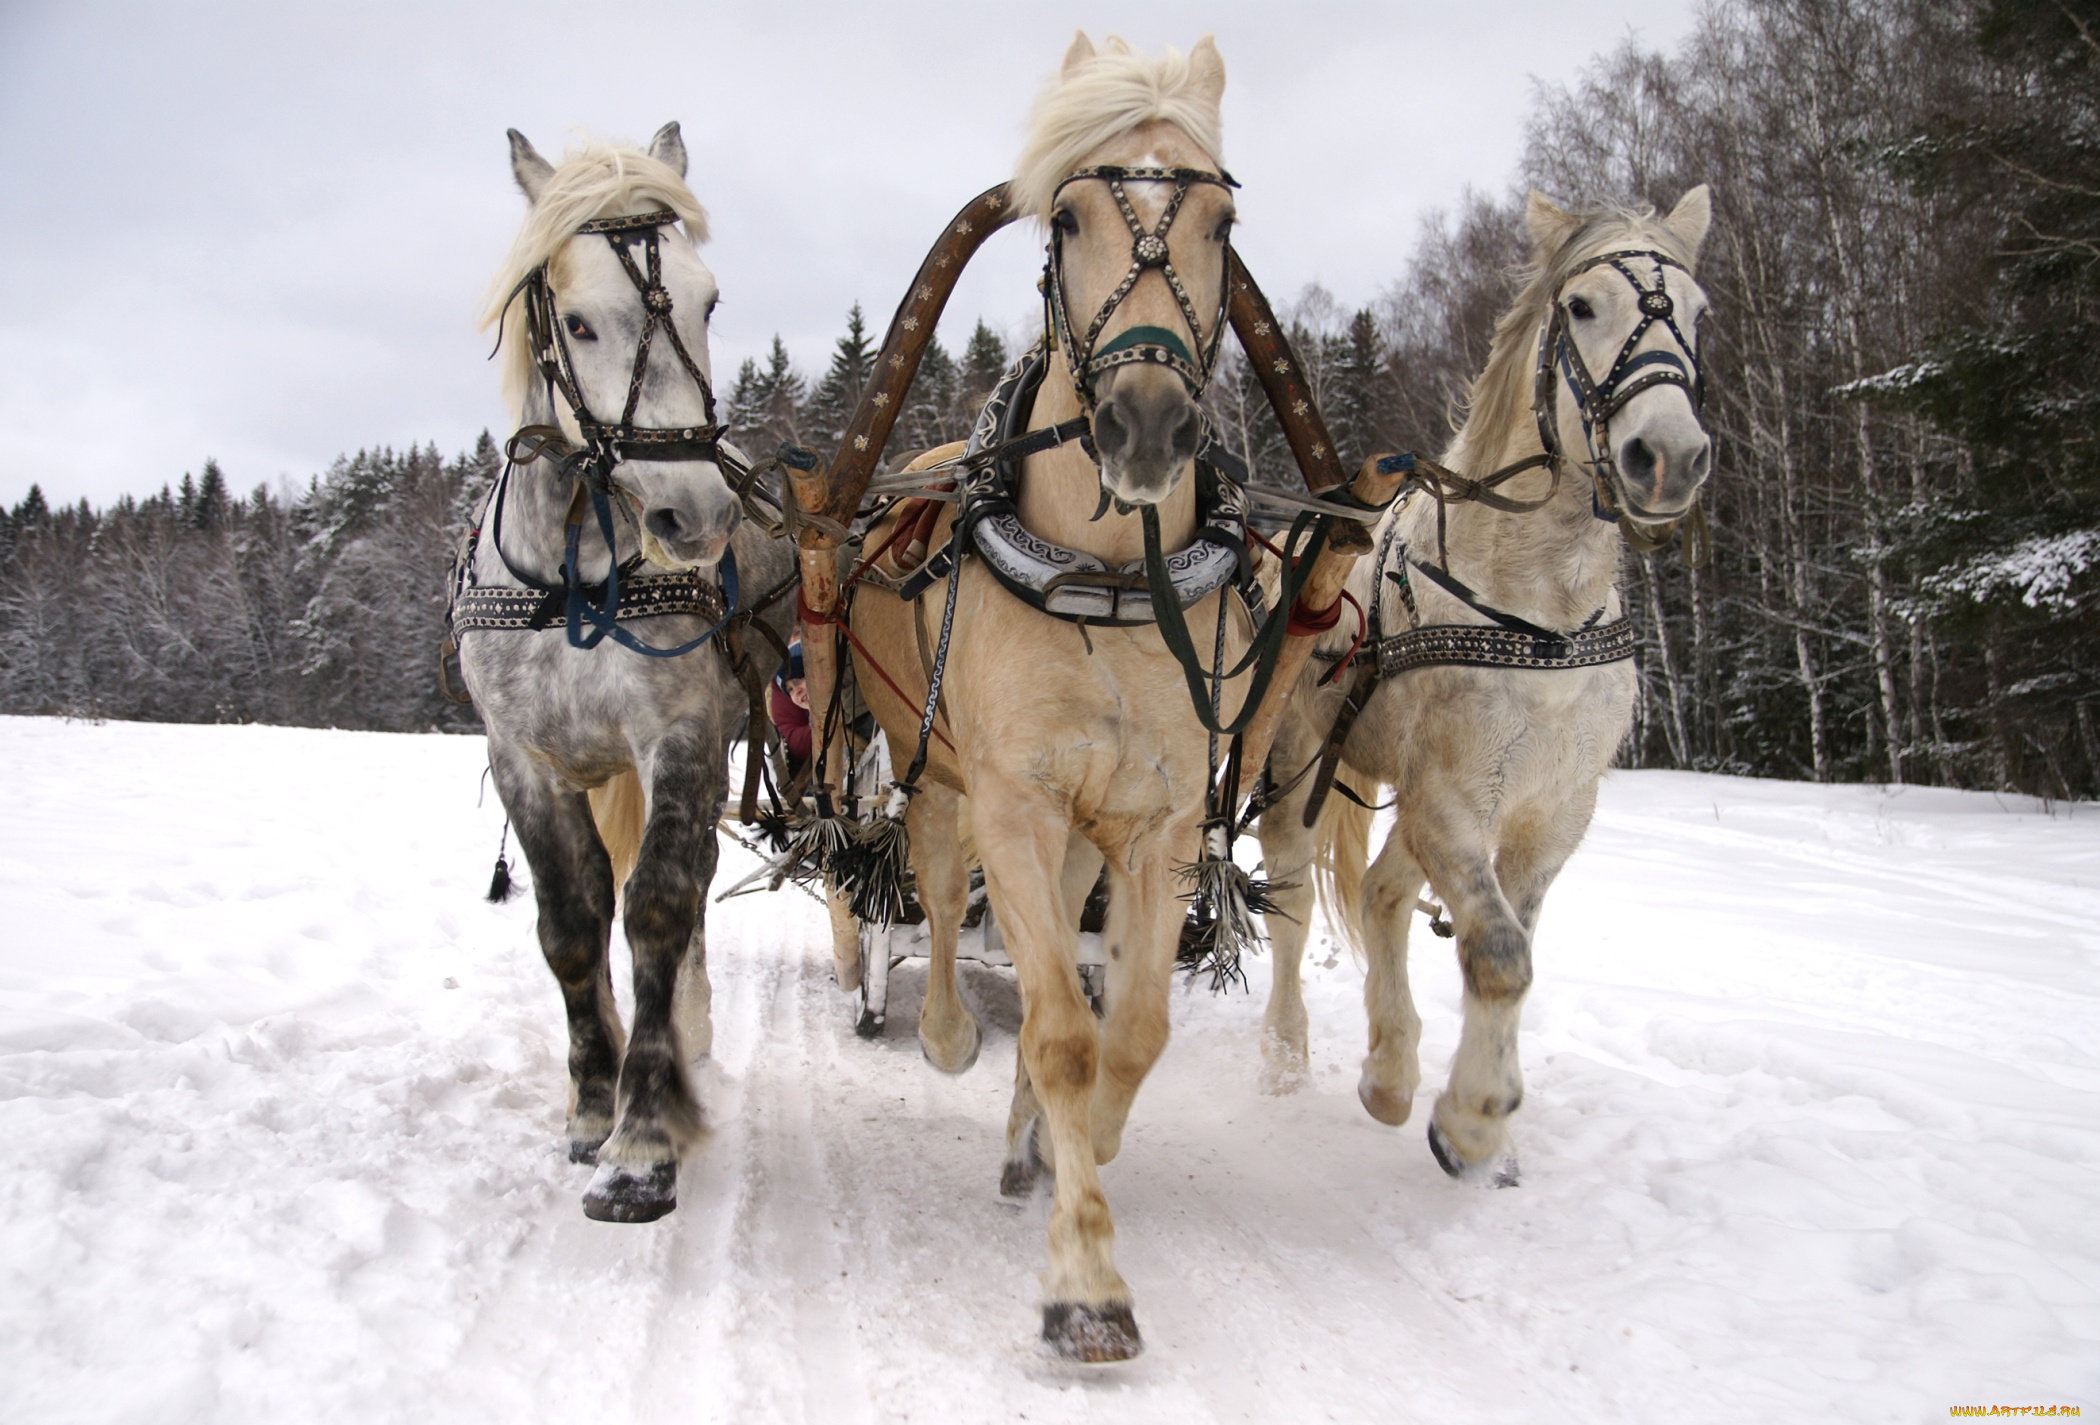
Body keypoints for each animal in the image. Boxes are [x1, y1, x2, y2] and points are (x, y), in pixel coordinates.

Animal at [839, 33, 1251, 1368]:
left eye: (1223, 221)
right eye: (1067, 215)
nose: (1146, 425)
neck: (1108, 576)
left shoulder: (1155, 823)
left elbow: (1127, 1031)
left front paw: (1087, 1149)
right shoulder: (1014, 803)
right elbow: (1062, 1034)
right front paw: (1087, 1286)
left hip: (1079, 828)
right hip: (933, 768)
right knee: (928, 894)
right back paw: (946, 1037)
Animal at [1251, 192, 1713, 1192]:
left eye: (1700, 314)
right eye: (1581, 306)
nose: (1668, 455)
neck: (1543, 612)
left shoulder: (1550, 810)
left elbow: (1508, 945)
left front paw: (1472, 1121)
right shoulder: (1456, 797)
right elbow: (1499, 954)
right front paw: (1471, 1120)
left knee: (1384, 891)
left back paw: (1390, 1069)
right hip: (1298, 764)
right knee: (1294, 899)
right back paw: (1286, 1055)